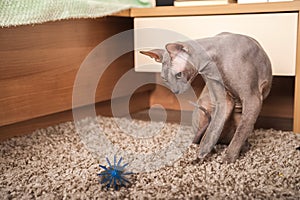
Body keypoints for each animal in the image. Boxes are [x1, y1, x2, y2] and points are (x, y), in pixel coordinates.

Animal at [140, 31, 272, 162]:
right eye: (164, 79)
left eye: (178, 74)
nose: (175, 91)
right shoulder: (224, 100)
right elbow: (212, 130)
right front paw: (202, 154)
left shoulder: (252, 99)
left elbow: (240, 131)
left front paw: (229, 158)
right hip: (206, 106)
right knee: (203, 134)